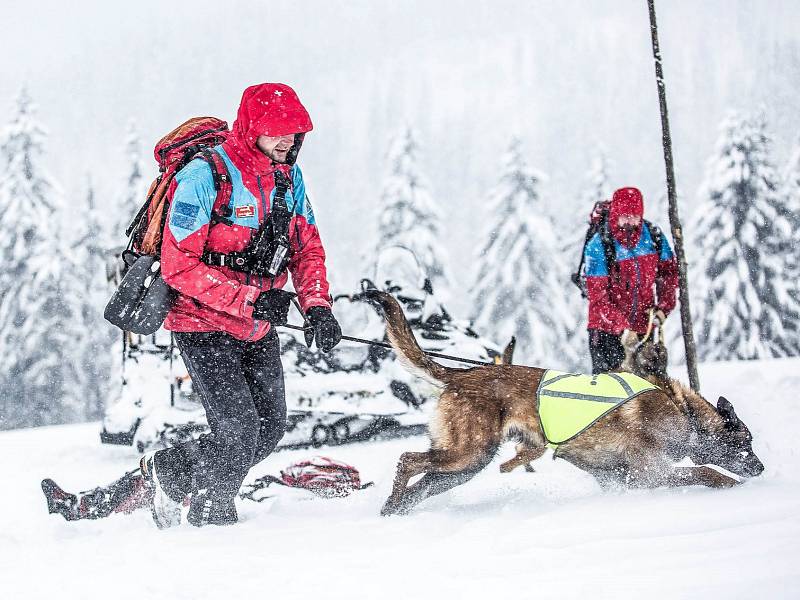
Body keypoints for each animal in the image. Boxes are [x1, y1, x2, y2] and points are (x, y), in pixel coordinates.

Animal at [372, 292, 764, 516]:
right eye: (745, 444)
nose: (760, 469)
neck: (683, 412)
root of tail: (461, 375)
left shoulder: (618, 477)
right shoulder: (651, 474)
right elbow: (708, 472)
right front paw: (736, 488)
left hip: (465, 466)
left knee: (423, 482)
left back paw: (395, 510)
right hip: (469, 453)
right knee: (407, 460)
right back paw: (393, 503)